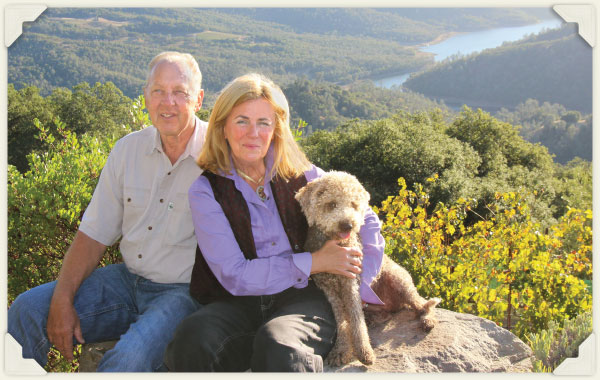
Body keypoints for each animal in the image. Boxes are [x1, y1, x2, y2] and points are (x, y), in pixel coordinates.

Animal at [296, 171, 440, 366]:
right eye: (331, 204)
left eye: (353, 204)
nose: (348, 225)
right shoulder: (328, 289)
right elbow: (342, 320)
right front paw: (341, 350)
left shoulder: (351, 283)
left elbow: (356, 320)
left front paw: (364, 352)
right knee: (387, 313)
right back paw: (374, 318)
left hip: (400, 280)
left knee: (421, 303)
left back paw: (427, 320)